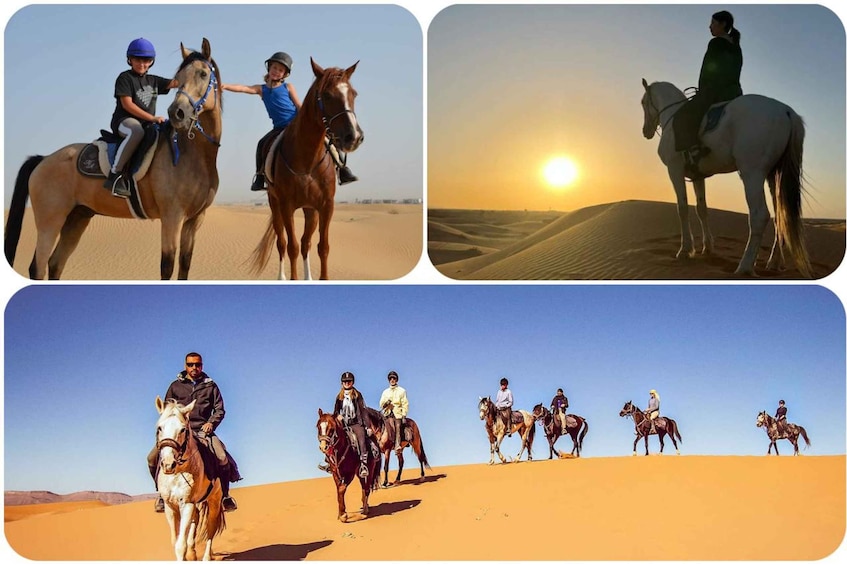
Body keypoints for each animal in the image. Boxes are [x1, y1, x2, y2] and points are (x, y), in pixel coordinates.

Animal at [4, 37, 222, 280]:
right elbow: (167, 267)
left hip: (77, 219)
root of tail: (43, 160)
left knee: (56, 263)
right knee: (38, 266)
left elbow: (184, 265)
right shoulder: (172, 217)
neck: (192, 155)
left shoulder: (194, 220)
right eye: (180, 77)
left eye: (203, 74)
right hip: (50, 222)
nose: (177, 113)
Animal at [153, 396, 225, 560]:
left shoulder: (186, 504)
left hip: (214, 501)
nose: (168, 464)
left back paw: (206, 557)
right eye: (159, 428)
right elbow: (175, 541)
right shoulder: (170, 507)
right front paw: (189, 554)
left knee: (210, 528)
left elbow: (180, 545)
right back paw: (193, 552)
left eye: (183, 429)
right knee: (196, 519)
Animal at [248, 59, 362, 280]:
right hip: (275, 205)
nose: (354, 137)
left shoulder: (325, 206)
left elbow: (322, 247)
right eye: (327, 95)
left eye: (353, 94)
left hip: (310, 210)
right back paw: (281, 277)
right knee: (282, 243)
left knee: (305, 243)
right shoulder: (286, 206)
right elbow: (290, 246)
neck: (307, 161)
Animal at [640, 78, 812, 276]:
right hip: (772, 176)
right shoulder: (698, 177)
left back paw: (744, 267)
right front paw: (707, 248)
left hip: (752, 174)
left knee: (759, 216)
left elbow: (682, 208)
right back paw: (773, 262)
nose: (646, 131)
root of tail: (786, 111)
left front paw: (685, 250)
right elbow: (701, 209)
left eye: (643, 102)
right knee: (780, 217)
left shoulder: (674, 170)